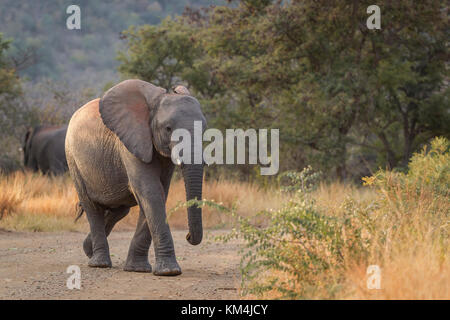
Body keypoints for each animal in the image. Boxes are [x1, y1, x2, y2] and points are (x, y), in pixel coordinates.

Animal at [66, 79, 207, 276]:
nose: (187, 236)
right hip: (73, 158)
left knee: (119, 210)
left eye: (205, 129)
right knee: (91, 207)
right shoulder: (131, 142)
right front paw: (169, 272)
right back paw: (99, 263)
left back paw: (89, 250)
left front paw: (137, 269)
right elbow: (150, 192)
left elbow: (159, 193)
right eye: (168, 128)